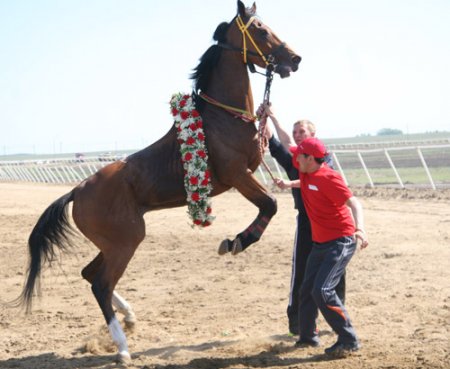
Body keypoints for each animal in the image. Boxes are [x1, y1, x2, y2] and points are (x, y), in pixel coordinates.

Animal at [17, 0, 300, 362]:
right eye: (261, 30)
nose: (294, 58)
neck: (224, 117)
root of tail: (77, 190)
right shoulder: (238, 175)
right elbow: (271, 204)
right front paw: (236, 241)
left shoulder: (246, 173)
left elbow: (270, 204)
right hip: (126, 240)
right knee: (100, 284)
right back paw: (122, 347)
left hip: (114, 242)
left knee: (90, 274)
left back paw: (130, 317)